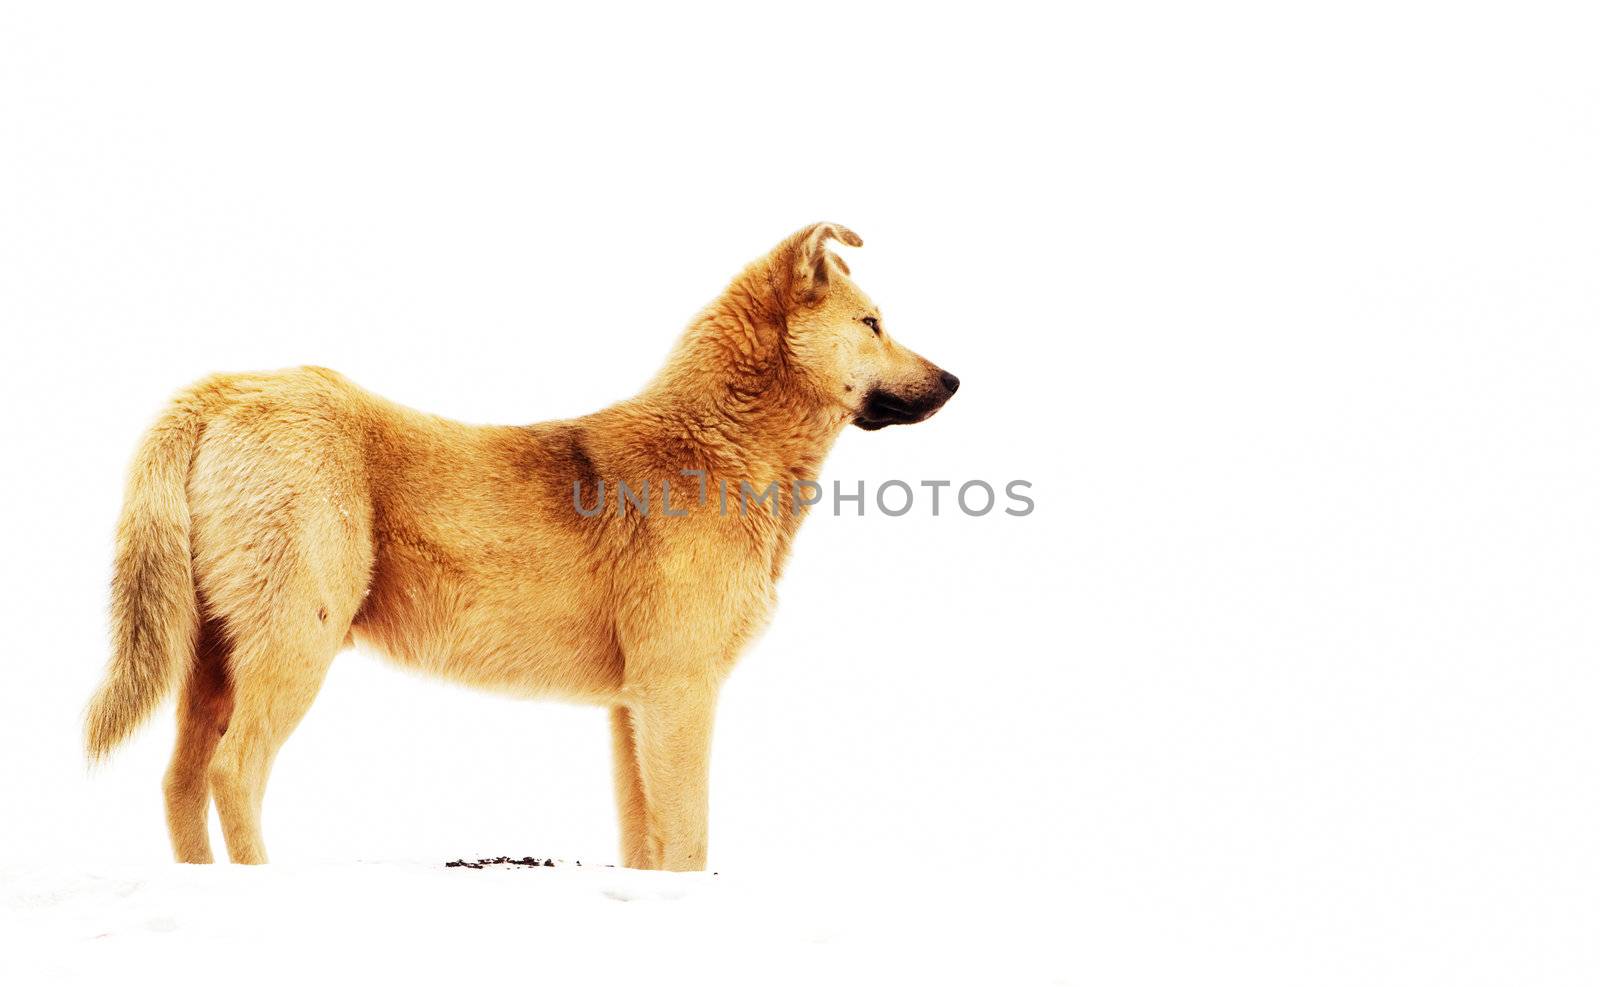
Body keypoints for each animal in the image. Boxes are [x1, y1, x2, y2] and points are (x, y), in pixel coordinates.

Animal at [87, 219, 953, 863]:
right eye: (872, 323)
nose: (953, 380)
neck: (718, 447)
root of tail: (225, 388)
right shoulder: (679, 692)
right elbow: (690, 841)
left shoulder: (631, 708)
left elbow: (645, 845)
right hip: (295, 641)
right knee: (234, 772)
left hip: (209, 655)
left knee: (178, 784)